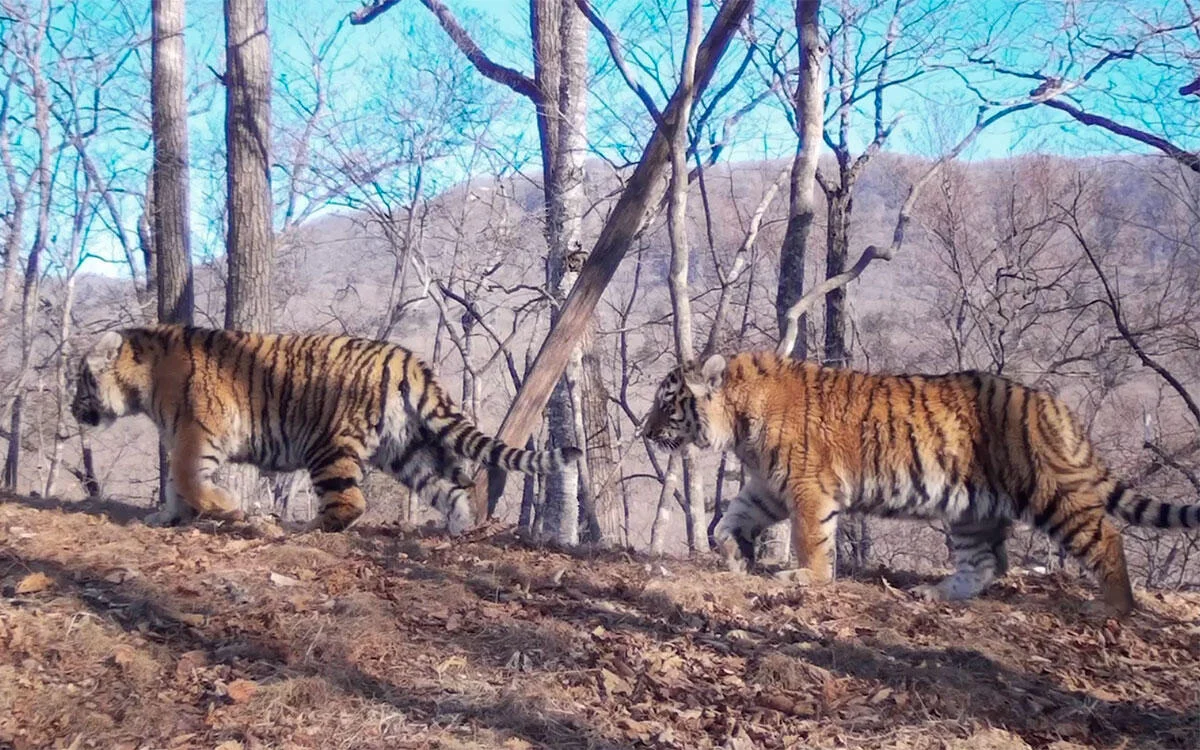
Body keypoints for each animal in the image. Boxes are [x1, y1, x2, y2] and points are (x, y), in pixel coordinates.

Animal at [72, 324, 583, 530]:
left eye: (80, 379)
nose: (75, 409)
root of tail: (404, 357)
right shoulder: (182, 437)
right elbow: (176, 486)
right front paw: (165, 518)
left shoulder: (194, 434)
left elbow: (187, 480)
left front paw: (227, 507)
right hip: (407, 450)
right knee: (453, 490)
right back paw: (455, 531)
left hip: (328, 446)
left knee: (350, 503)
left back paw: (303, 528)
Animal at [648, 350, 1200, 614]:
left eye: (666, 403)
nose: (645, 432)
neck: (738, 419)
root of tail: (1054, 405)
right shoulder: (767, 485)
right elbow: (729, 521)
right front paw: (735, 557)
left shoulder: (807, 486)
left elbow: (811, 540)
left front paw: (805, 578)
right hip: (973, 511)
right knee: (986, 564)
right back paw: (936, 593)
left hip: (1050, 492)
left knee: (1106, 537)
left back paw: (1113, 608)